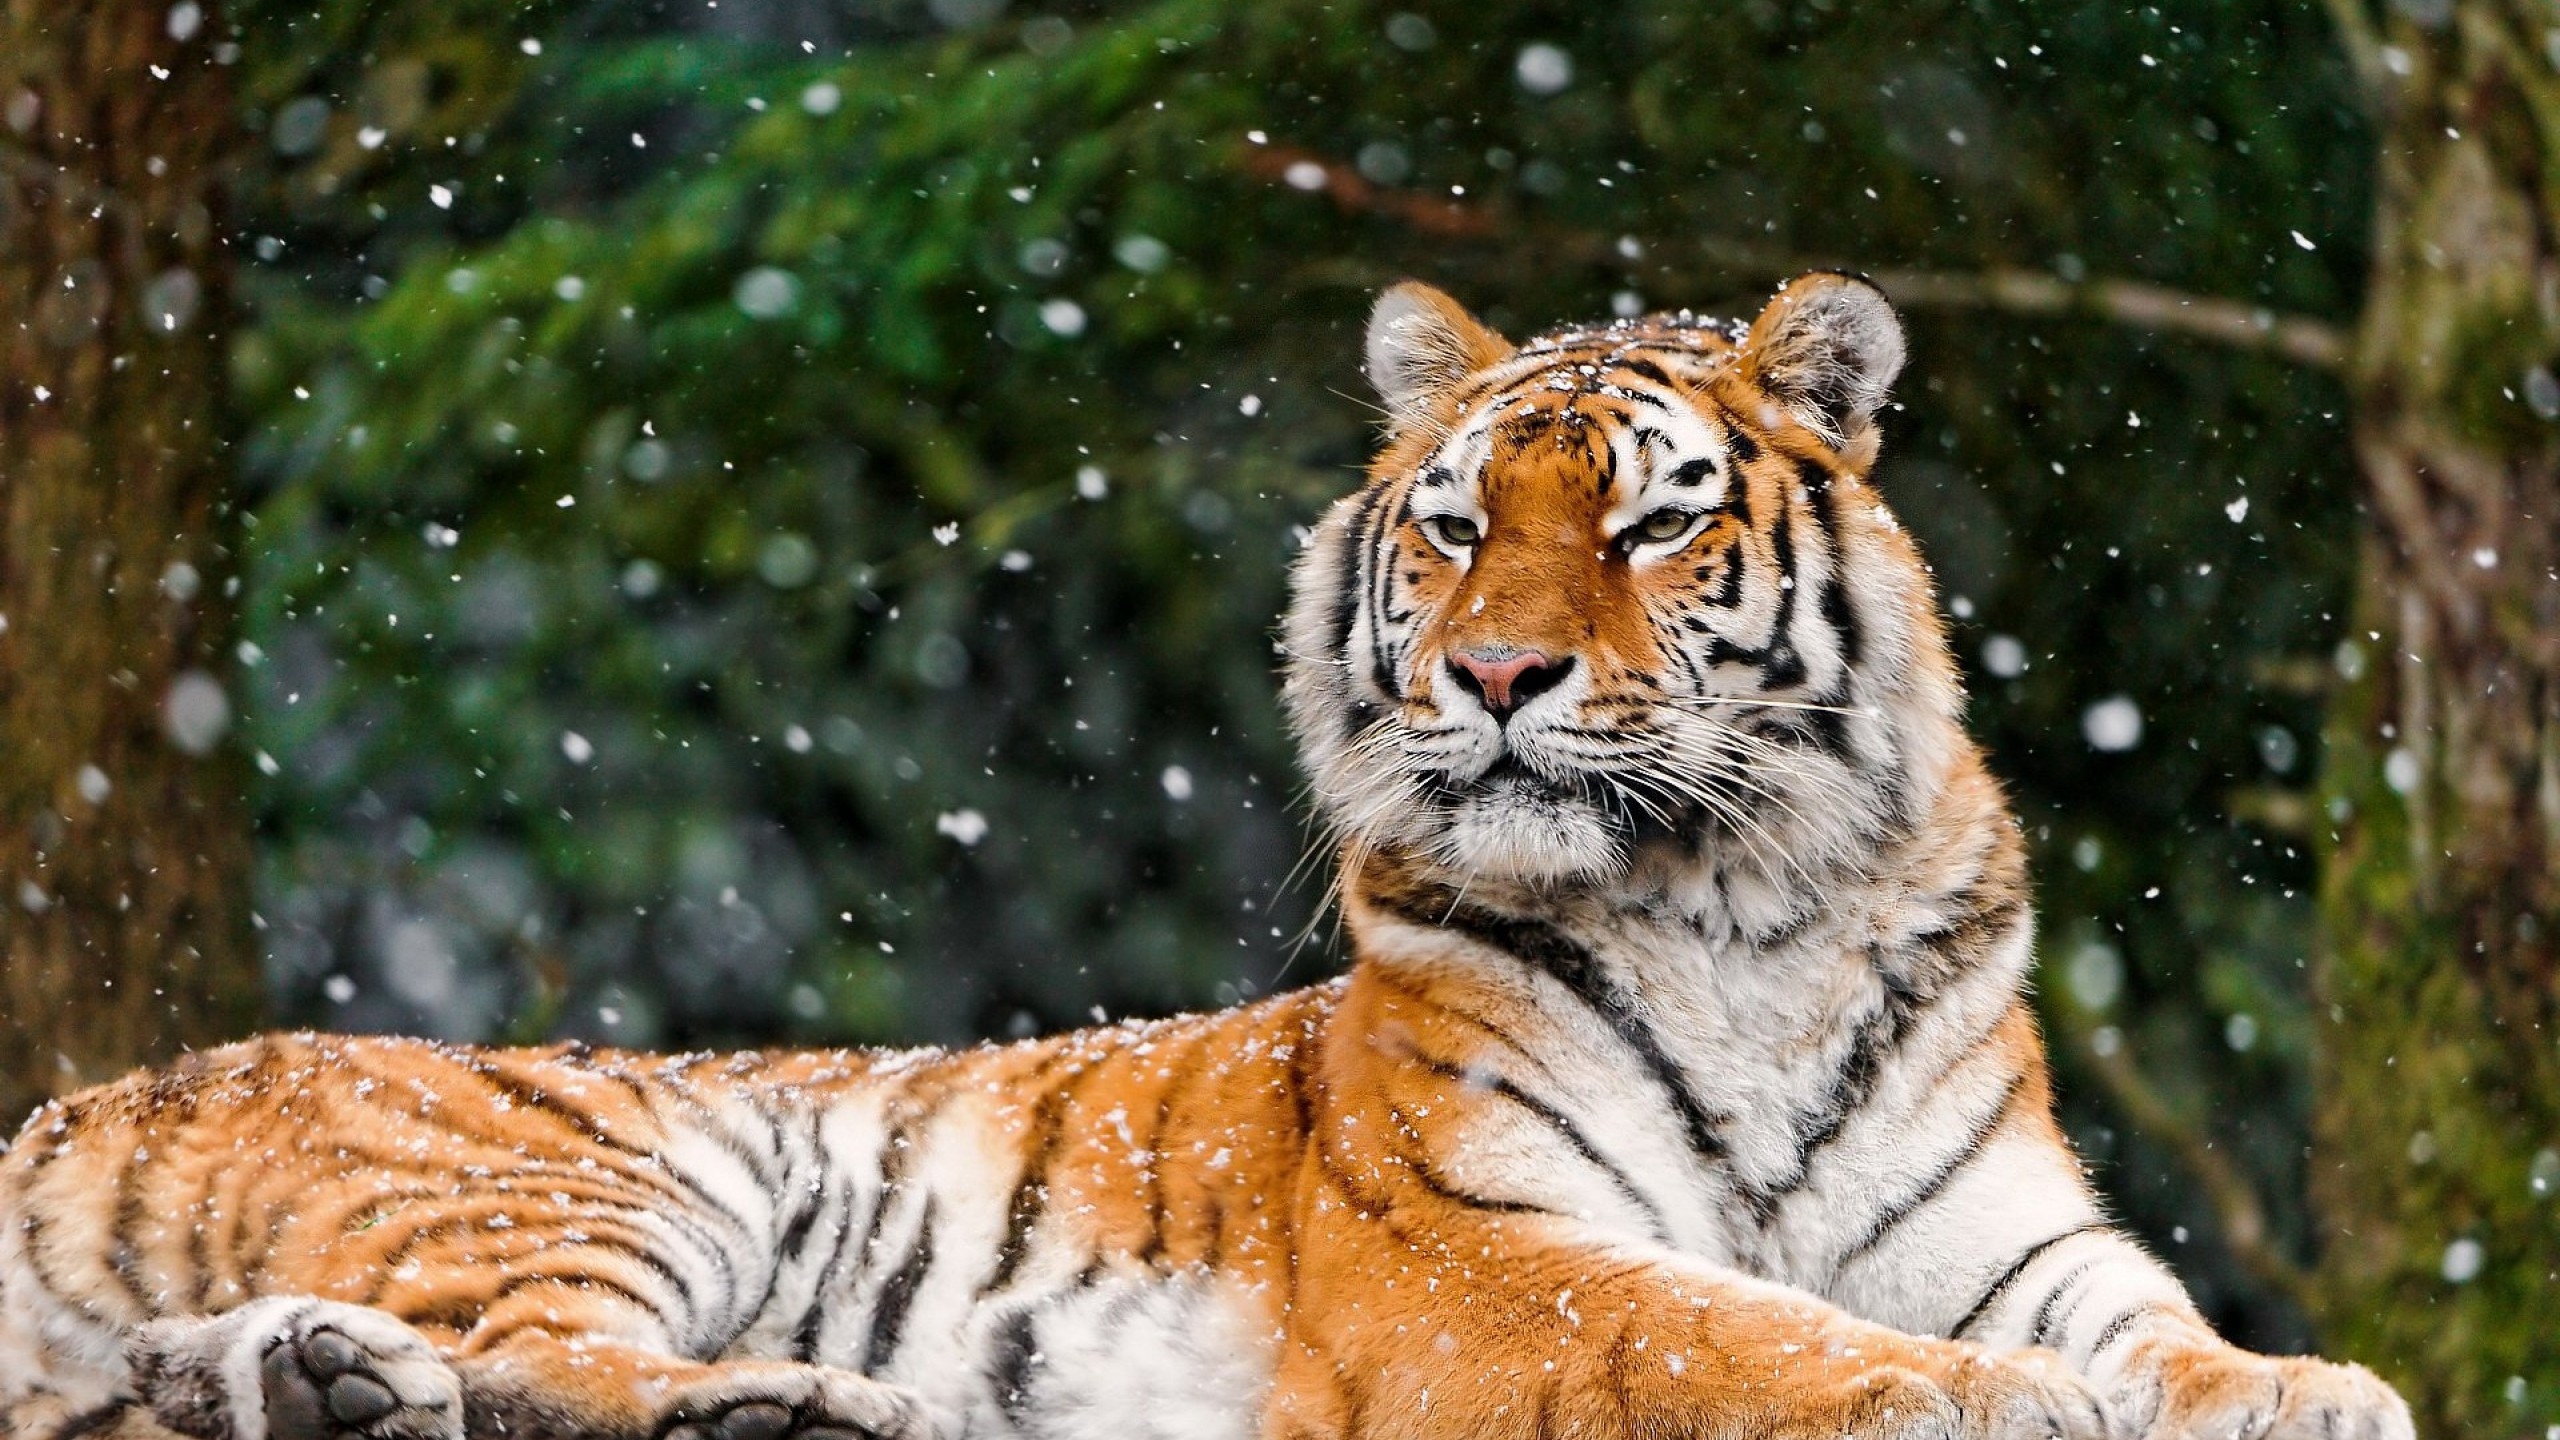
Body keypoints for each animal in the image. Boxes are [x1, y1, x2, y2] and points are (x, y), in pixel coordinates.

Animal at [0, 274, 2414, 1440]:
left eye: (1649, 522)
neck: (1744, 908)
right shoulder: (1473, 1250)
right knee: (534, 1363)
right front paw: (1994, 1406)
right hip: (594, 1169)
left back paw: (325, 1389)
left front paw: (2312, 1394)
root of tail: (97, 1091)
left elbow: (2164, 1327)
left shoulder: (2002, 1223)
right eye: (1456, 522)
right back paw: (789, 1413)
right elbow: (1749, 1342)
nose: (1501, 673)